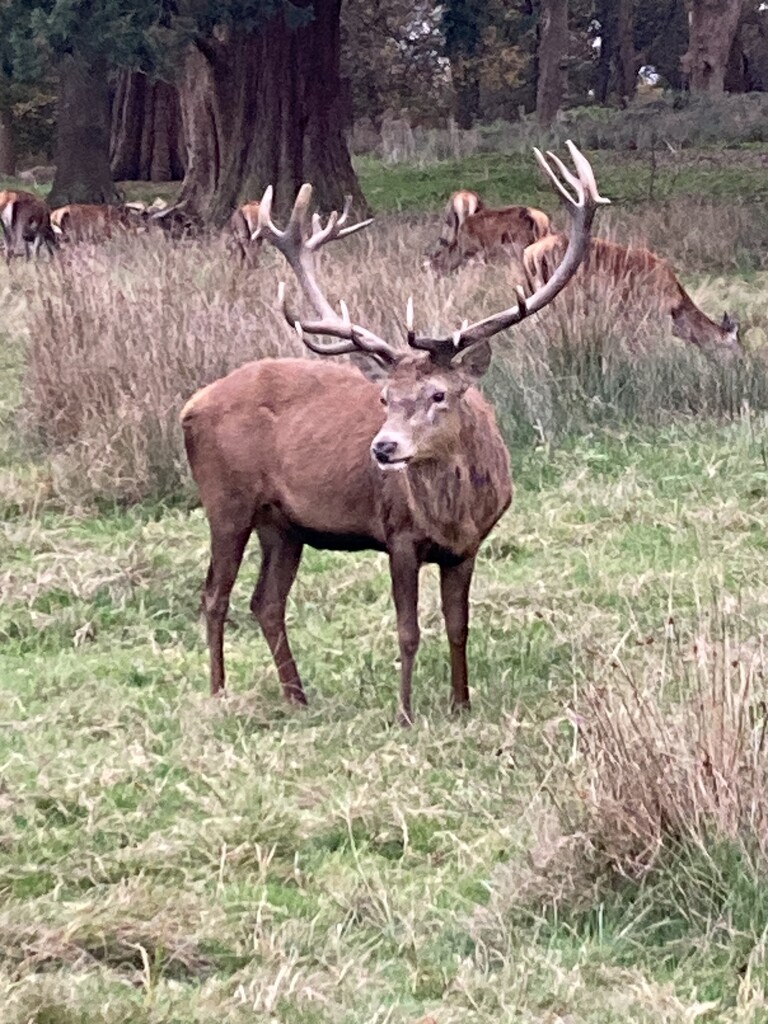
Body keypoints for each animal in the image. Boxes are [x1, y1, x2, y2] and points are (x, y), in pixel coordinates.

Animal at [183, 140, 610, 724]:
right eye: (384, 398)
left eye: (439, 395)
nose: (383, 449)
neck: (454, 514)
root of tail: (189, 407)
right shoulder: (398, 534)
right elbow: (408, 630)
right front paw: (406, 712)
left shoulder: (467, 547)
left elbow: (459, 625)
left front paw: (461, 702)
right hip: (226, 500)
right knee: (214, 595)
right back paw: (219, 692)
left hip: (284, 523)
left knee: (266, 601)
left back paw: (298, 696)